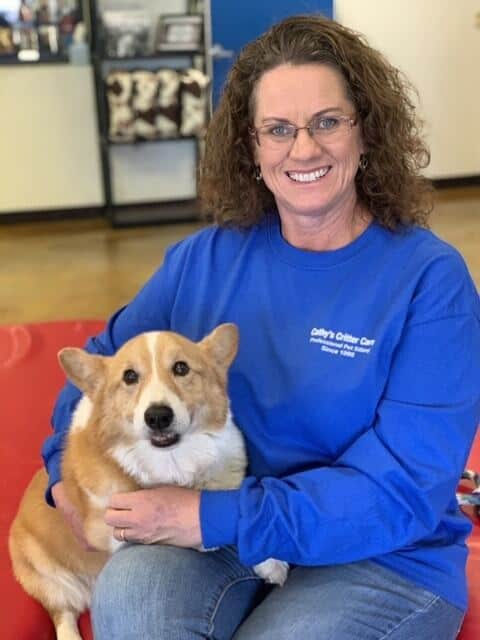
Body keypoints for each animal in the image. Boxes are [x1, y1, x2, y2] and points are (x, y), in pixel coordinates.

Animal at [8, 324, 288, 640]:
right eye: (129, 376)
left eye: (181, 368)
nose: (158, 416)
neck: (172, 459)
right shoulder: (108, 529)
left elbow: (239, 520)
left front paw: (270, 563)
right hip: (49, 579)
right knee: (63, 616)